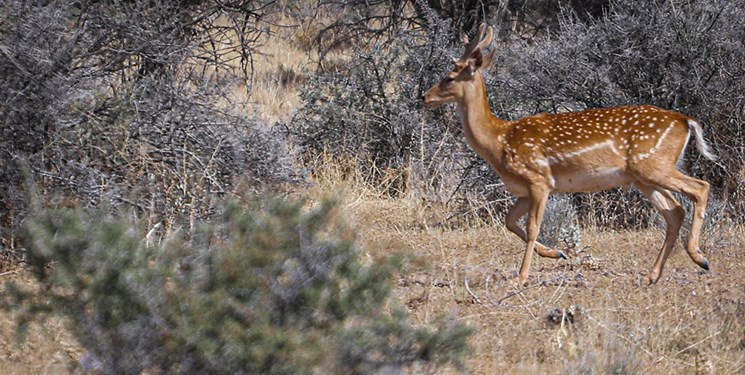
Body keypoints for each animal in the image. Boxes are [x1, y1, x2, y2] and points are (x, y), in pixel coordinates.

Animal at [422, 23, 716, 286]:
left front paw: (521, 278)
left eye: (449, 77)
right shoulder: (524, 189)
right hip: (643, 176)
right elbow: (509, 221)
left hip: (653, 164)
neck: (500, 140)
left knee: (700, 187)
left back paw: (699, 257)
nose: (425, 96)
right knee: (675, 211)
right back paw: (653, 275)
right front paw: (555, 253)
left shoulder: (539, 179)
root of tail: (686, 121)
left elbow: (532, 227)